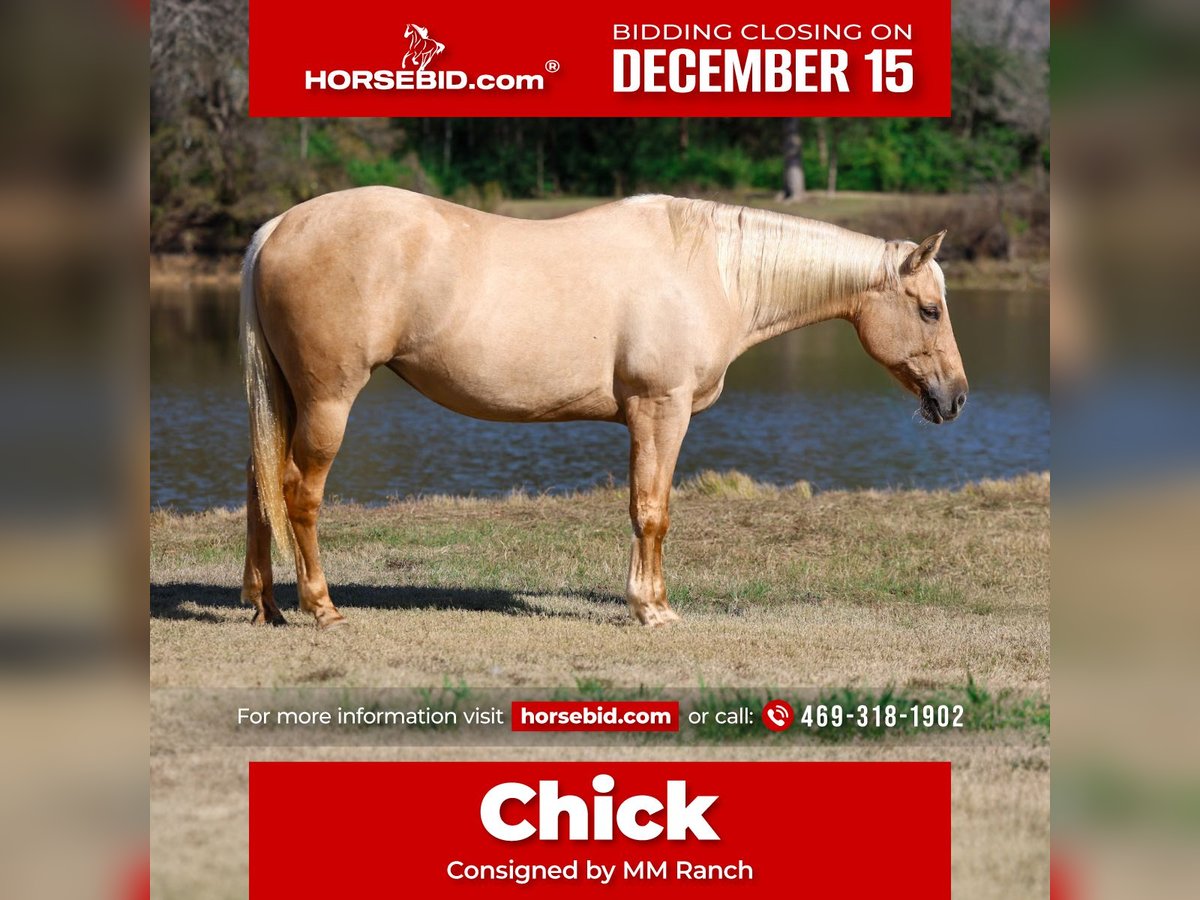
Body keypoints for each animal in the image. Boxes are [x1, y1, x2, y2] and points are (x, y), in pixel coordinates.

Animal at [239, 188, 968, 630]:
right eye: (930, 309)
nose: (954, 398)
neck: (712, 271)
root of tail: (278, 226)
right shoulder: (661, 410)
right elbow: (653, 511)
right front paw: (653, 609)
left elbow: (642, 507)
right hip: (329, 400)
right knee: (299, 493)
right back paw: (322, 607)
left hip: (287, 397)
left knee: (259, 487)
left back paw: (265, 605)